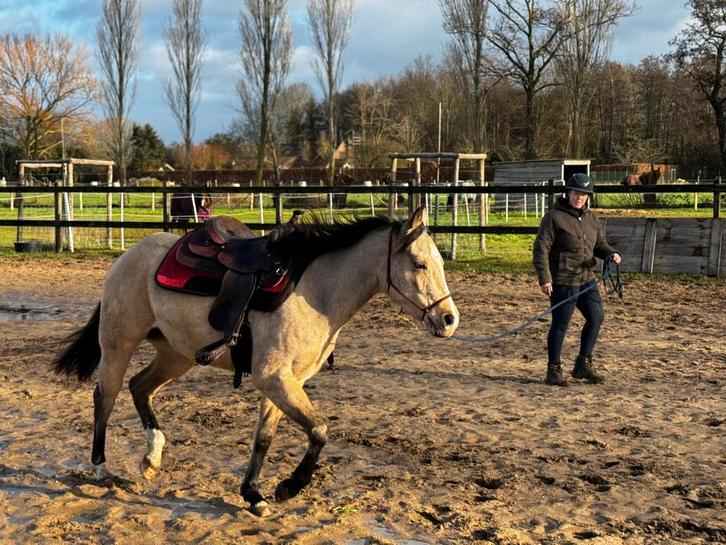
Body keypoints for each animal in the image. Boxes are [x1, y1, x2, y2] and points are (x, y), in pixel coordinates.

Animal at [53, 206, 459, 517]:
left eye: (440, 262)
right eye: (419, 264)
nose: (449, 319)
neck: (315, 292)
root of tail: (129, 255)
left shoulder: (285, 382)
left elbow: (263, 438)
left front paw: (253, 494)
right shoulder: (274, 378)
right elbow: (318, 430)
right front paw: (288, 487)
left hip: (176, 354)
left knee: (140, 387)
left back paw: (152, 456)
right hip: (118, 344)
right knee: (105, 398)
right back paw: (100, 468)